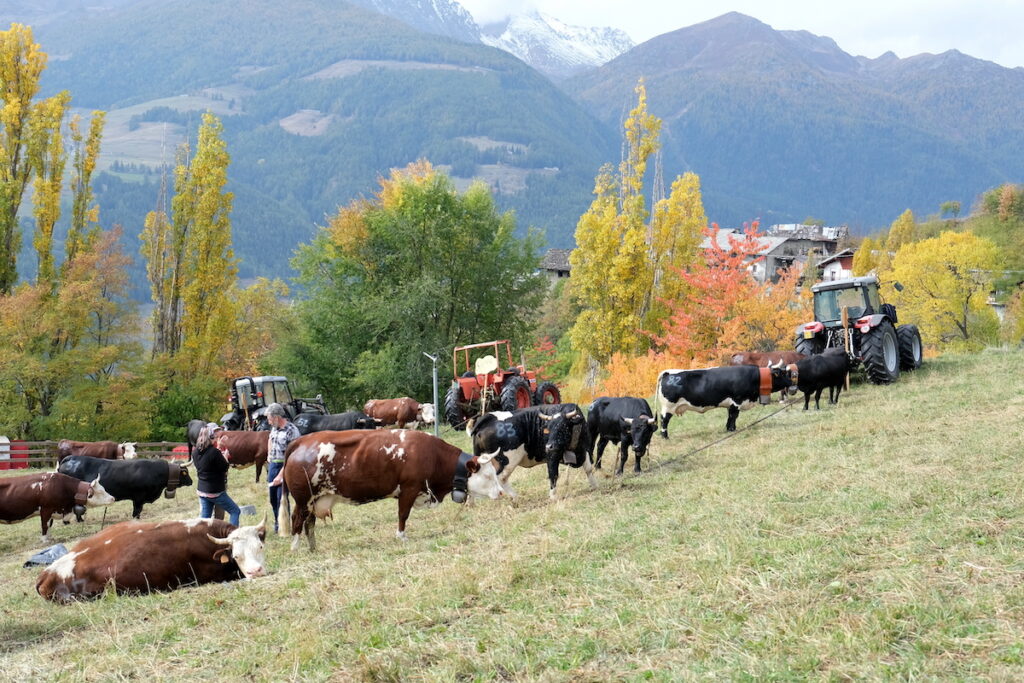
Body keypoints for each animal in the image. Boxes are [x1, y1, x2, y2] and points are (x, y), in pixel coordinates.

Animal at [282, 430, 505, 552]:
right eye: (488, 476)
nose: (501, 493)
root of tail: (301, 441)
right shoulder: (409, 489)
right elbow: (403, 514)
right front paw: (401, 536)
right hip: (303, 500)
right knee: (297, 520)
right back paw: (295, 547)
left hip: (315, 500)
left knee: (309, 523)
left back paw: (313, 547)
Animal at [468, 403, 598, 499]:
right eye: (547, 429)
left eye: (563, 427)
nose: (548, 446)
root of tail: (488, 417)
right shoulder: (552, 456)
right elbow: (553, 474)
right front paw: (553, 497)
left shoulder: (585, 449)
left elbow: (588, 469)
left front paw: (595, 486)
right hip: (507, 460)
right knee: (501, 477)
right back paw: (514, 497)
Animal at [655, 362, 798, 438]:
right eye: (781, 373)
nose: (791, 381)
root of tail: (668, 373)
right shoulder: (737, 401)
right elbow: (734, 416)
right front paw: (732, 430)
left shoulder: (731, 404)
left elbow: (730, 416)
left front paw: (728, 428)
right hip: (668, 407)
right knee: (664, 421)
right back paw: (665, 436)